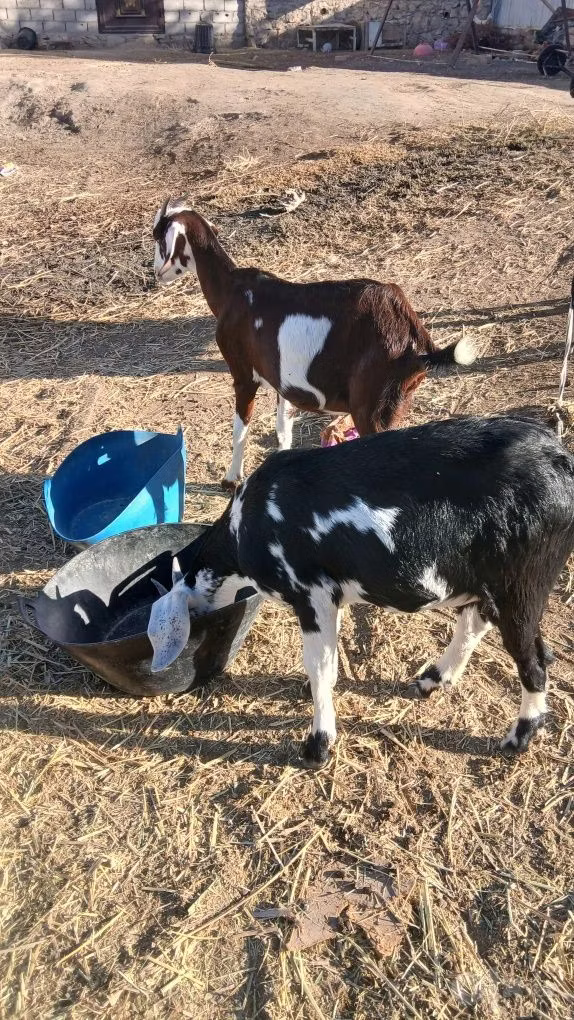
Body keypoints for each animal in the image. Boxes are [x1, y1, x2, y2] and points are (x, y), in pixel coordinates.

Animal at [146, 416, 574, 769]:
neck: (243, 529)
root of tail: (560, 458)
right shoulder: (328, 598)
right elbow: (327, 661)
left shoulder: (312, 593)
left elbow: (319, 665)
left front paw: (317, 747)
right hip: (489, 582)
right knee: (476, 623)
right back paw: (431, 680)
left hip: (524, 581)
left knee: (533, 661)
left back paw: (516, 739)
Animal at [152, 200, 476, 489]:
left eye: (158, 238)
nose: (156, 273)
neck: (231, 290)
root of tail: (411, 332)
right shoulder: (282, 381)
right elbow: (283, 429)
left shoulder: (243, 374)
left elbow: (240, 429)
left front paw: (231, 480)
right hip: (396, 401)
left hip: (371, 407)